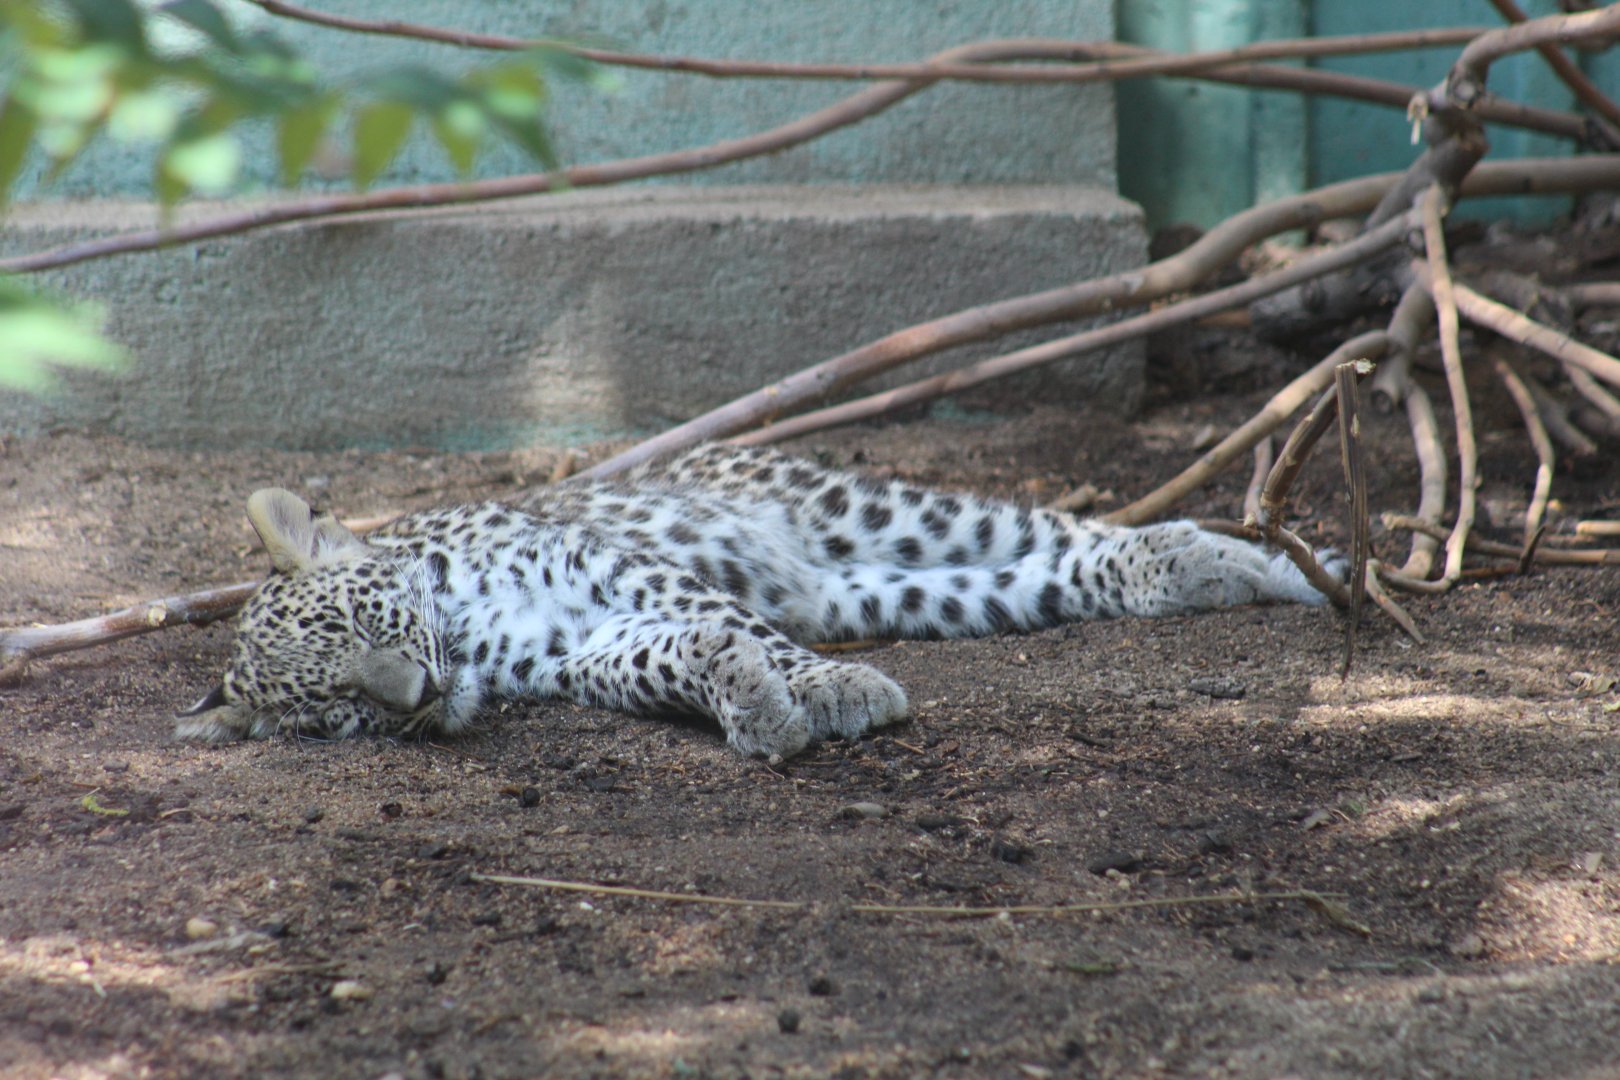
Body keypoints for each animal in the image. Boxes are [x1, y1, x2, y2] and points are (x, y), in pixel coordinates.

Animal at [177, 444, 1336, 758]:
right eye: (338, 714)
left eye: (365, 624)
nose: (413, 697)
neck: (467, 622)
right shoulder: (589, 647)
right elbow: (681, 653)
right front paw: (752, 701)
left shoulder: (622, 574)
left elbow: (734, 626)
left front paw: (826, 693)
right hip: (884, 587)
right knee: (1049, 578)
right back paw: (1212, 572)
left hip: (876, 514)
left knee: (1075, 533)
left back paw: (1283, 565)